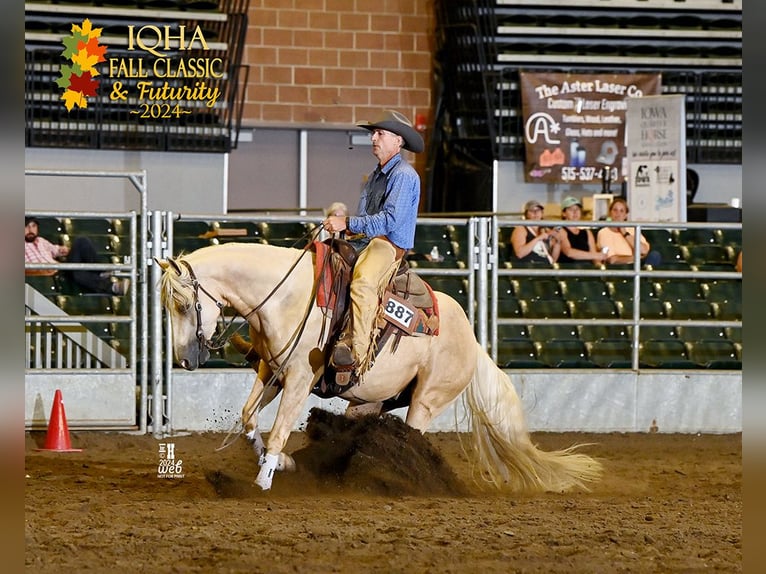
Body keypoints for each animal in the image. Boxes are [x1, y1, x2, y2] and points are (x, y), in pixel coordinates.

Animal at [159, 244, 604, 496]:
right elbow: (250, 418)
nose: (185, 360)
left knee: (410, 438)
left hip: (426, 401)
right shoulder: (271, 371)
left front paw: (263, 481)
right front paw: (281, 464)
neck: (287, 295)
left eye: (182, 304)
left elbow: (280, 430)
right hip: (370, 401)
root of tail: (474, 343)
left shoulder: (300, 380)